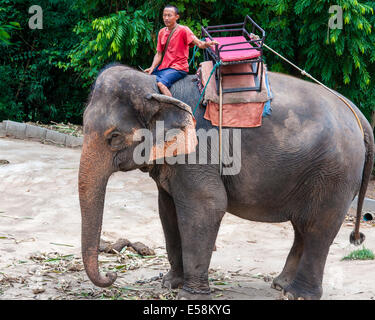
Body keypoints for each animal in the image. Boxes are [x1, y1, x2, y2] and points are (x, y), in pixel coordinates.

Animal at [78, 63, 374, 300]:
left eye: (114, 137)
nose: (112, 276)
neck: (161, 89)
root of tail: (358, 114)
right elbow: (167, 209)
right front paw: (170, 284)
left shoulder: (198, 151)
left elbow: (207, 206)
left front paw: (190, 296)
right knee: (303, 227)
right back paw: (281, 285)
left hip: (335, 174)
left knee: (318, 228)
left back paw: (298, 295)